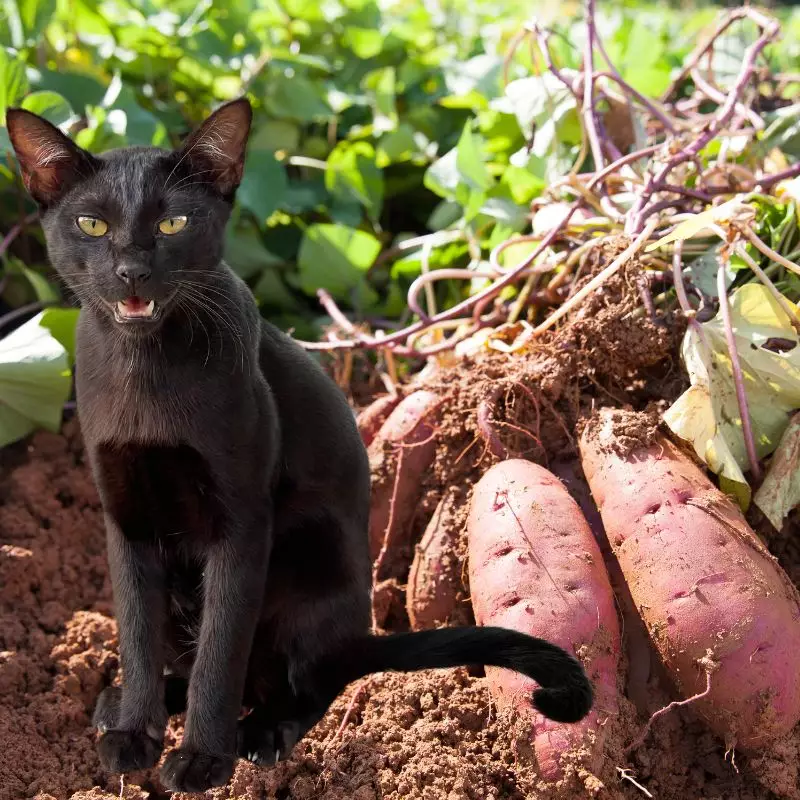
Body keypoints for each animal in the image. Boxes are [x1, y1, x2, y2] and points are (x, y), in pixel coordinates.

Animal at [6, 97, 592, 792]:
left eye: (174, 222)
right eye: (92, 225)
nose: (133, 271)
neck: (143, 372)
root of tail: (358, 631)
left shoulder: (242, 521)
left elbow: (221, 651)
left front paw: (203, 761)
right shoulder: (125, 519)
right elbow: (137, 636)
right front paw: (132, 736)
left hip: (311, 553)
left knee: (307, 679)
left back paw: (264, 731)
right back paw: (118, 704)